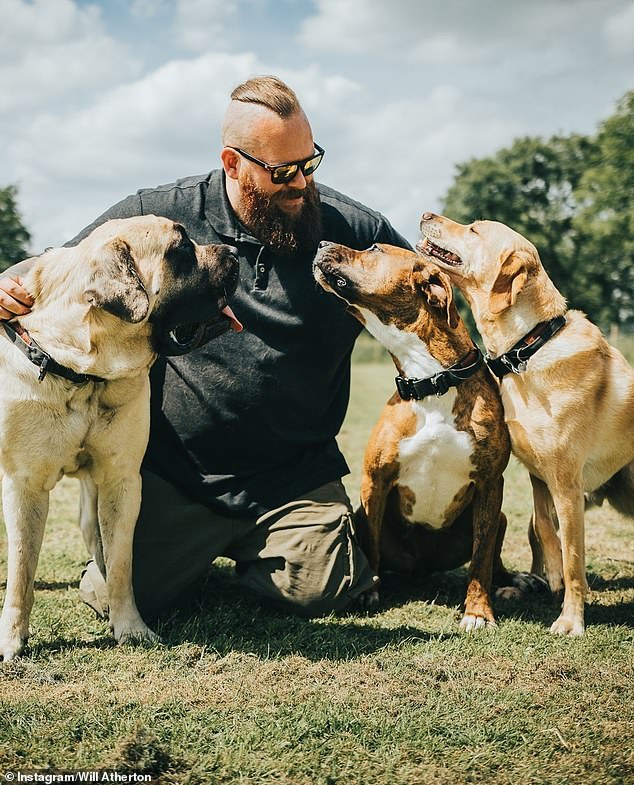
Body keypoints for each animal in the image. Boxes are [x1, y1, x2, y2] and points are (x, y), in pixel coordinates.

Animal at [0, 213, 241, 656]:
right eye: (181, 248)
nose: (235, 252)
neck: (83, 374)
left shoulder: (120, 481)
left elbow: (121, 561)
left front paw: (130, 627)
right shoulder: (25, 485)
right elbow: (23, 569)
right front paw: (11, 639)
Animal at [312, 242, 524, 628]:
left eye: (374, 248)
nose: (321, 243)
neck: (432, 381)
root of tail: (422, 569)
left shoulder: (491, 484)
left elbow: (482, 558)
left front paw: (478, 611)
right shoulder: (374, 482)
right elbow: (370, 546)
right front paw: (368, 592)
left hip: (497, 517)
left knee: (492, 558)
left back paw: (513, 583)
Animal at [414, 211, 632, 632]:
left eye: (474, 229)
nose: (426, 214)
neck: (526, 348)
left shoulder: (566, 484)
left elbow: (574, 558)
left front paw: (571, 620)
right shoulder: (539, 477)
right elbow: (546, 532)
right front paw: (552, 579)